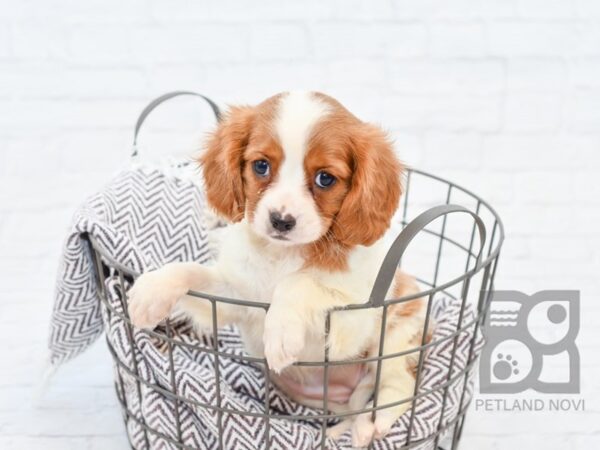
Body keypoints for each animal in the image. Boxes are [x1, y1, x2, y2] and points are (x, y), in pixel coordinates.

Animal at [127, 91, 426, 446]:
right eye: (261, 166)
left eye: (325, 178)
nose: (281, 220)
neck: (283, 255)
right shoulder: (233, 297)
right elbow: (191, 271)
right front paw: (151, 291)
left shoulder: (352, 320)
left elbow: (297, 283)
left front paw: (280, 332)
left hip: (396, 338)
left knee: (399, 387)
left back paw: (373, 424)